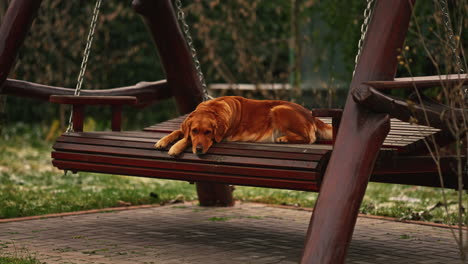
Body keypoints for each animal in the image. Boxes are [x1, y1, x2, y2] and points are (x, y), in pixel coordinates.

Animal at [156, 96, 332, 156]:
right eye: (194, 130)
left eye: (208, 132)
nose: (199, 150)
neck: (213, 108)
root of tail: (311, 115)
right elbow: (178, 131)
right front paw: (163, 141)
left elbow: (186, 139)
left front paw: (175, 148)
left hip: (278, 109)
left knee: (310, 138)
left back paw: (284, 139)